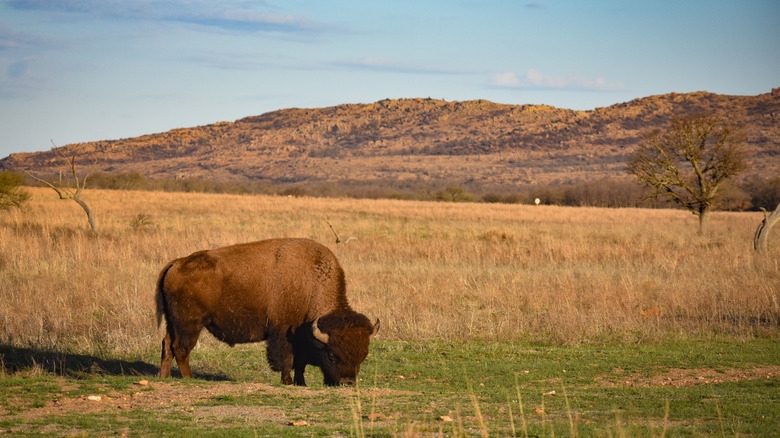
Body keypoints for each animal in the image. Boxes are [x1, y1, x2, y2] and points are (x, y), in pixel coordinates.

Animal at [154, 238, 380, 384]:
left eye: (363, 355)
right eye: (332, 355)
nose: (348, 382)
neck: (310, 283)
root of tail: (176, 263)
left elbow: (300, 363)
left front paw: (301, 382)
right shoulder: (283, 332)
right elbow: (287, 359)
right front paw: (287, 381)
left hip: (173, 323)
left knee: (167, 345)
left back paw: (164, 377)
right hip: (189, 324)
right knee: (181, 348)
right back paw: (189, 379)